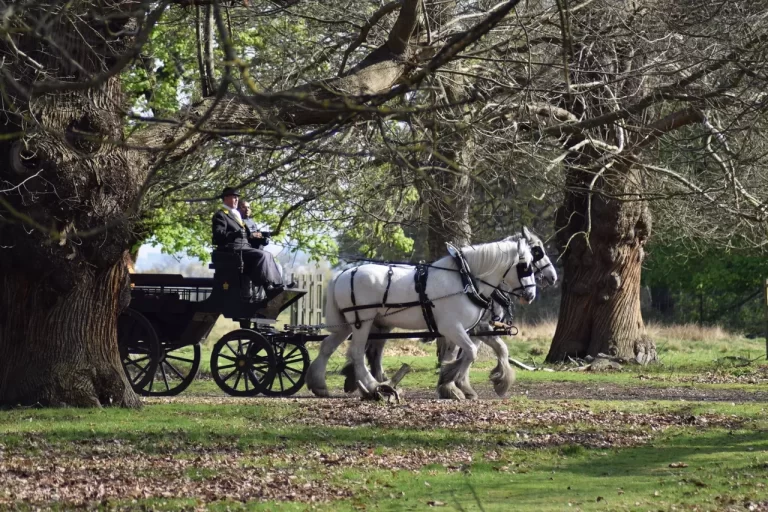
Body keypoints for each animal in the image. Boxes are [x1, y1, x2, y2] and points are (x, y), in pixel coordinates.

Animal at [304, 236, 536, 400]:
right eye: (525, 266)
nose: (531, 295)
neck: (465, 279)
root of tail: (343, 274)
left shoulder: (460, 330)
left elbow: (465, 354)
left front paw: (452, 385)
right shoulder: (452, 327)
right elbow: (470, 352)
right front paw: (452, 381)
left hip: (347, 324)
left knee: (328, 346)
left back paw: (319, 385)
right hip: (362, 321)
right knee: (357, 353)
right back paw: (372, 386)